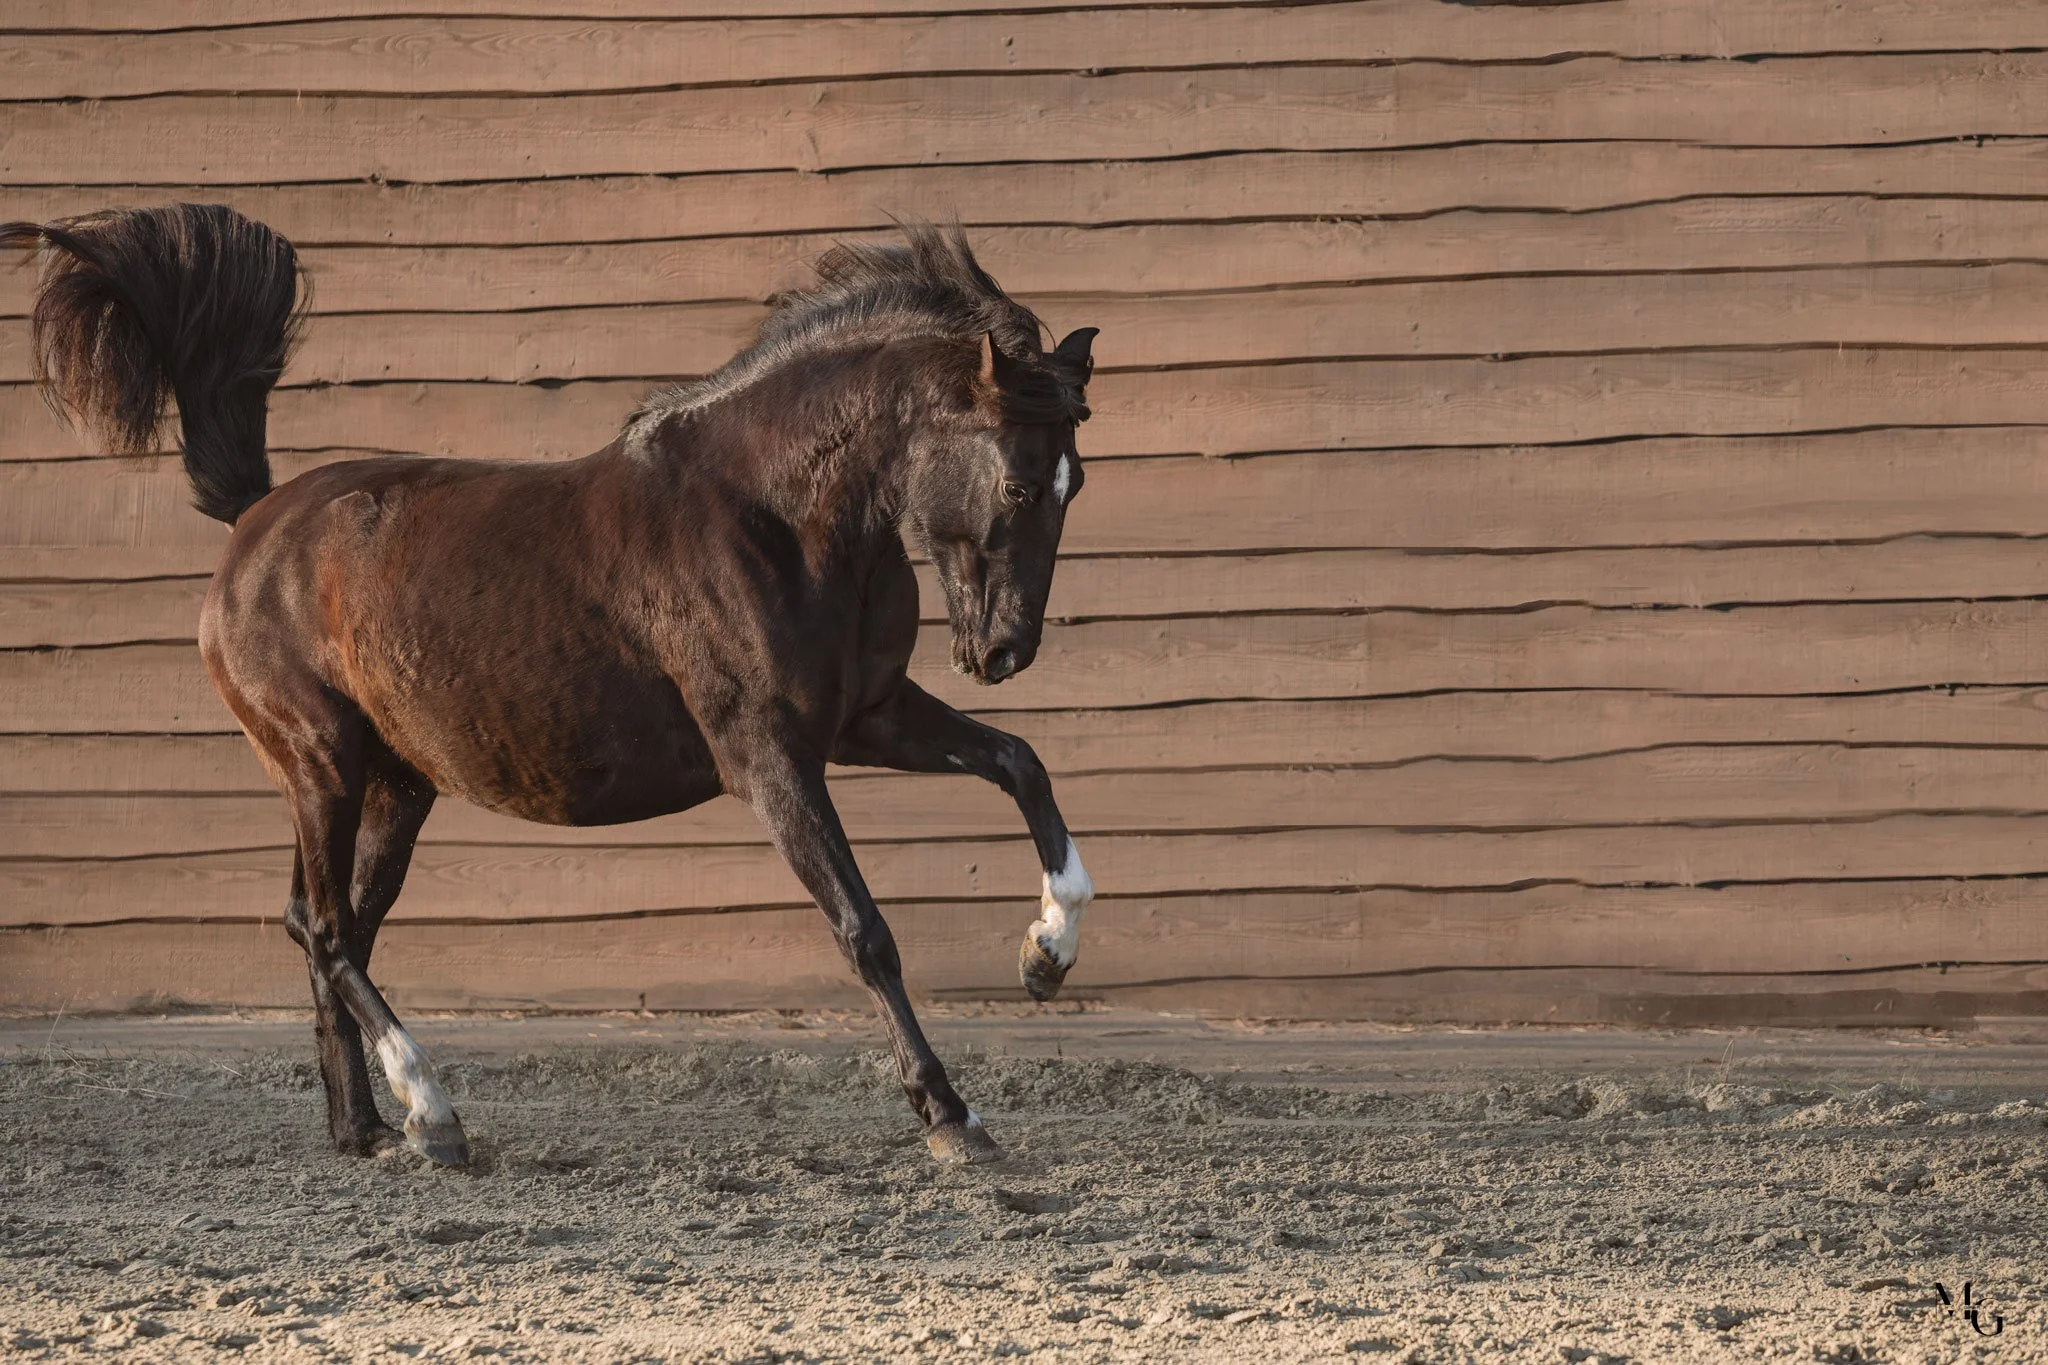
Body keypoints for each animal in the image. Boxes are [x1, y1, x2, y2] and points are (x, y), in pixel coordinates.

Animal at [5, 204, 1100, 1169]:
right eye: (1016, 481)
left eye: (1072, 485)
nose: (1003, 651)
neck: (778, 516)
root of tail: (255, 520)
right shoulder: (769, 758)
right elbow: (865, 931)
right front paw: (954, 1118)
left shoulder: (865, 719)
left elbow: (1022, 763)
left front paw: (1046, 954)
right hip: (321, 764)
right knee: (324, 928)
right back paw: (431, 1112)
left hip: (394, 784)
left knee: (328, 924)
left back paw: (366, 1131)